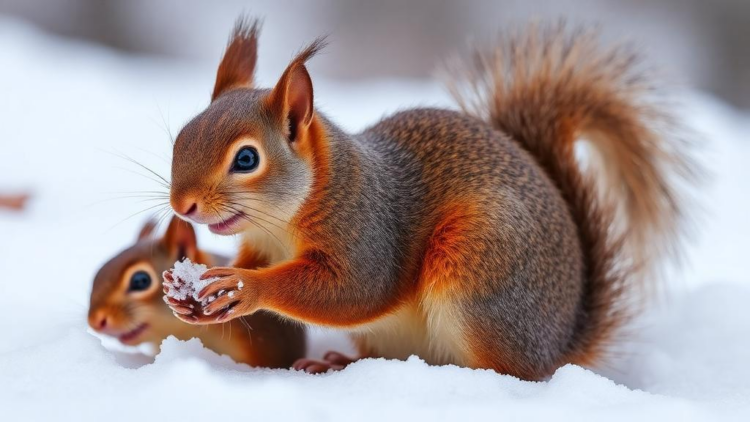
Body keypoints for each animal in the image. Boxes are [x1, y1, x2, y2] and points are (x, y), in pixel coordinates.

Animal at [162, 18, 695, 380]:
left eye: (246, 159)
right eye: (181, 137)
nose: (182, 206)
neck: (281, 224)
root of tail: (558, 344)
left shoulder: (367, 230)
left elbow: (354, 290)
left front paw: (245, 289)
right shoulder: (259, 245)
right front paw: (187, 292)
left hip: (478, 267)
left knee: (510, 372)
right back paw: (336, 363)